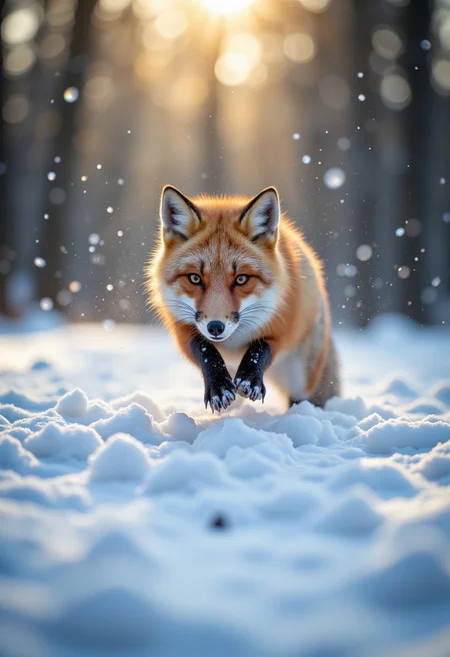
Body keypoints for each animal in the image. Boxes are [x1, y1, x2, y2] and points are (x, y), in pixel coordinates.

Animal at [146, 185, 340, 413]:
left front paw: (249, 380)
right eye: (195, 278)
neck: (232, 344)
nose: (215, 327)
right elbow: (205, 350)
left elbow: (259, 349)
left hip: (301, 379)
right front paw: (219, 387)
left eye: (241, 279)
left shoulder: (281, 327)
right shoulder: (183, 330)